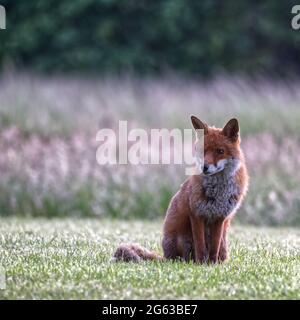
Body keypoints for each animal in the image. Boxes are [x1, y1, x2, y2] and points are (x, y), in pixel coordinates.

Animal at [113, 116, 248, 264]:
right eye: (202, 151)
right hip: (183, 240)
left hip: (223, 243)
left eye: (220, 151)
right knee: (183, 258)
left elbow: (214, 247)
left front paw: (212, 265)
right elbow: (200, 245)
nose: (204, 167)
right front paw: (201, 264)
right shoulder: (196, 214)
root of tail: (166, 257)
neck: (218, 191)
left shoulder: (219, 217)